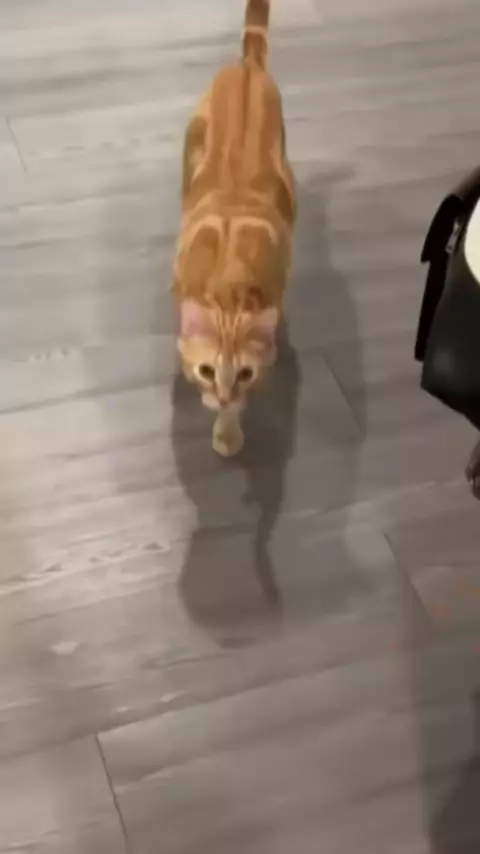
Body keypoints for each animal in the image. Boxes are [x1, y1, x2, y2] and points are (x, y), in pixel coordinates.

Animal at [172, 0, 296, 457]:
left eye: (244, 374)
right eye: (207, 371)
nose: (223, 396)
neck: (227, 293)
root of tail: (247, 66)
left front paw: (228, 427)